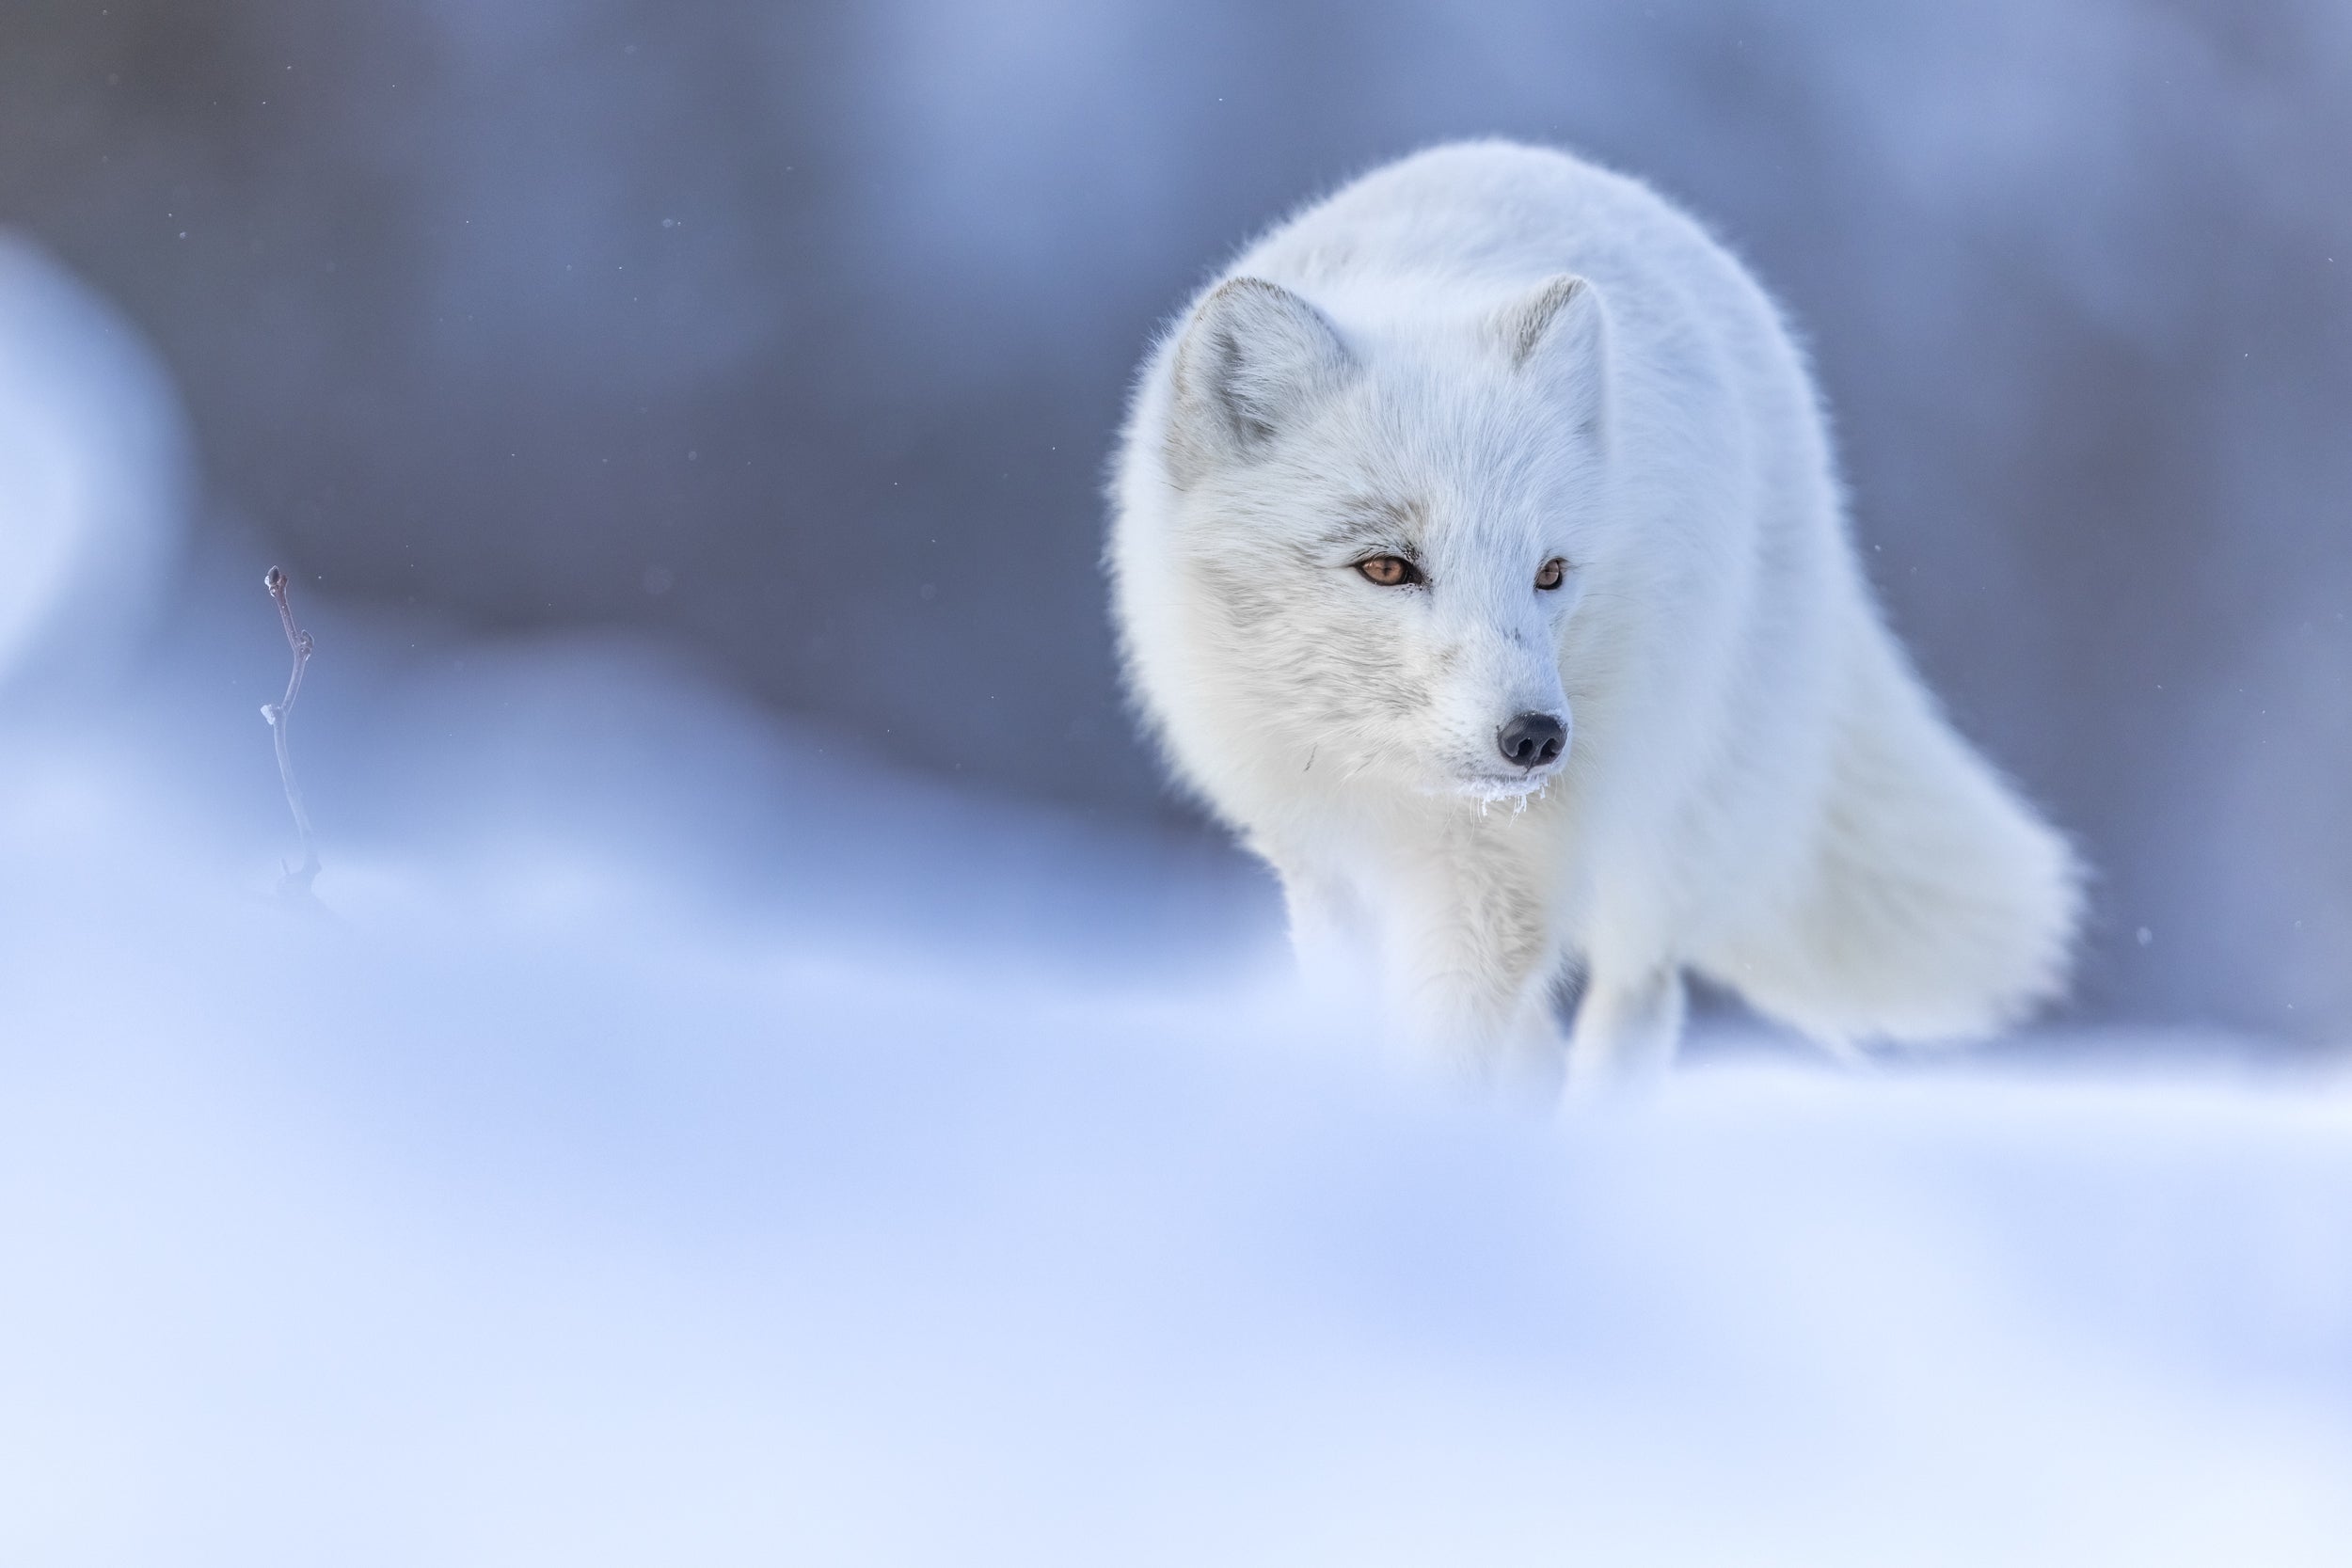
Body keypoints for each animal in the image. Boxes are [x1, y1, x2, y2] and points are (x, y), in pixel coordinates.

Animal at [1106, 141, 2080, 1085]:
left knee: (1636, 1004)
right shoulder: (1322, 861)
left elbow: (1451, 1050)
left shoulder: (1502, 876)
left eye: (1549, 572)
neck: (1401, 788)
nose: (1535, 736)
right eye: (1386, 567)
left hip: (1670, 831)